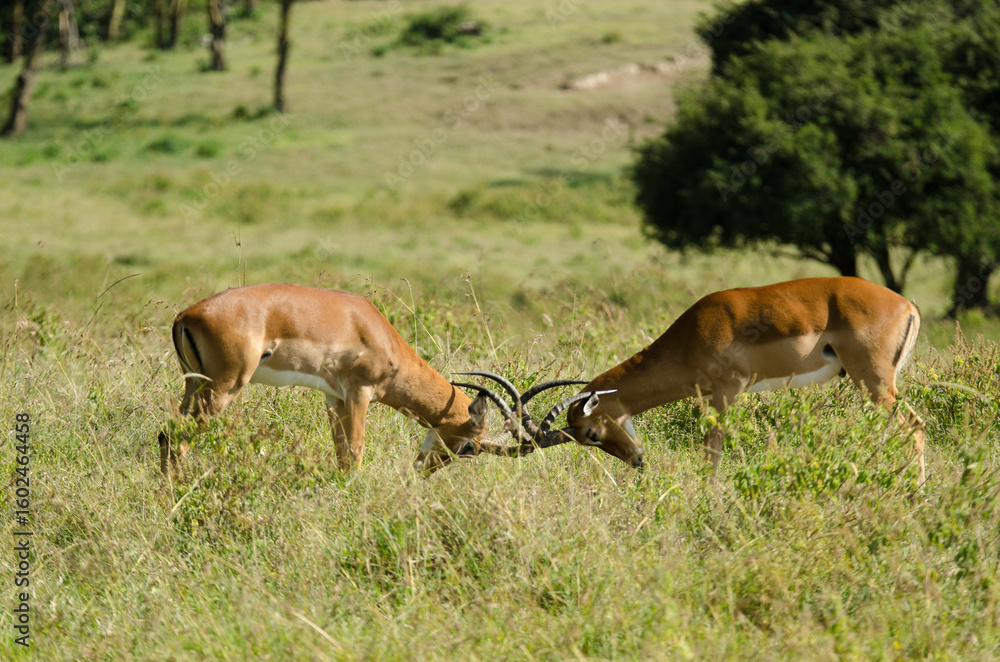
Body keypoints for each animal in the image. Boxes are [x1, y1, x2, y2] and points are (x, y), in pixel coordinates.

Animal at [157, 283, 528, 476]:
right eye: (468, 447)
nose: (422, 471)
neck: (374, 330)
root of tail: (185, 315)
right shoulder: (359, 392)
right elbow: (356, 452)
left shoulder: (333, 397)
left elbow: (340, 453)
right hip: (223, 388)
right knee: (178, 439)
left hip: (194, 386)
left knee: (165, 434)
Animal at [459, 277, 927, 483]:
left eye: (590, 433)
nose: (637, 460)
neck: (692, 335)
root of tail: (906, 303)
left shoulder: (725, 393)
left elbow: (713, 449)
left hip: (874, 382)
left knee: (915, 425)